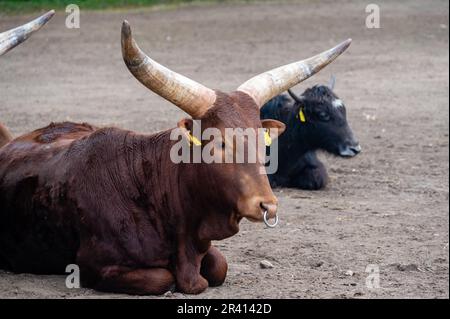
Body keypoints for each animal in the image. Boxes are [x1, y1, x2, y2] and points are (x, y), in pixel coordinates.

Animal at [0, 20, 352, 296]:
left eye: (261, 141)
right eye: (219, 142)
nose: (268, 205)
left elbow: (219, 266)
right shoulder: (94, 264)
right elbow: (163, 278)